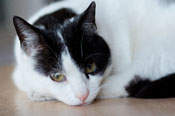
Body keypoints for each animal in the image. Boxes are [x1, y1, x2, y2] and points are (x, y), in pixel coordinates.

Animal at [12, 0, 175, 105]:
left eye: (90, 67)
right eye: (57, 76)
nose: (83, 95)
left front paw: (39, 93)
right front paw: (38, 91)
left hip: (157, 49)